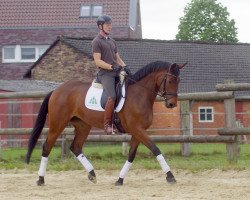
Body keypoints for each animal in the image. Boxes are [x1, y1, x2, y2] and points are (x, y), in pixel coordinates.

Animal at [25, 60, 186, 186]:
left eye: (178, 81)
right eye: (170, 81)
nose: (172, 104)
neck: (140, 95)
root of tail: (56, 90)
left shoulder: (138, 131)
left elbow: (131, 155)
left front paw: (120, 180)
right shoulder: (137, 129)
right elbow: (155, 149)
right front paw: (170, 176)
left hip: (83, 125)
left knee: (75, 147)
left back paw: (92, 175)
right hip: (58, 123)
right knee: (47, 146)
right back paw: (40, 179)